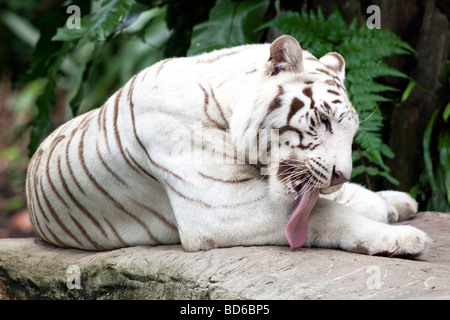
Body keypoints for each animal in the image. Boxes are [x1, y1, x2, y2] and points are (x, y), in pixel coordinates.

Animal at [25, 35, 432, 258]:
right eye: (325, 120)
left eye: (351, 131)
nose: (339, 176)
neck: (227, 103)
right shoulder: (219, 207)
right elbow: (324, 213)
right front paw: (402, 238)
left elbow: (331, 202)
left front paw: (391, 205)